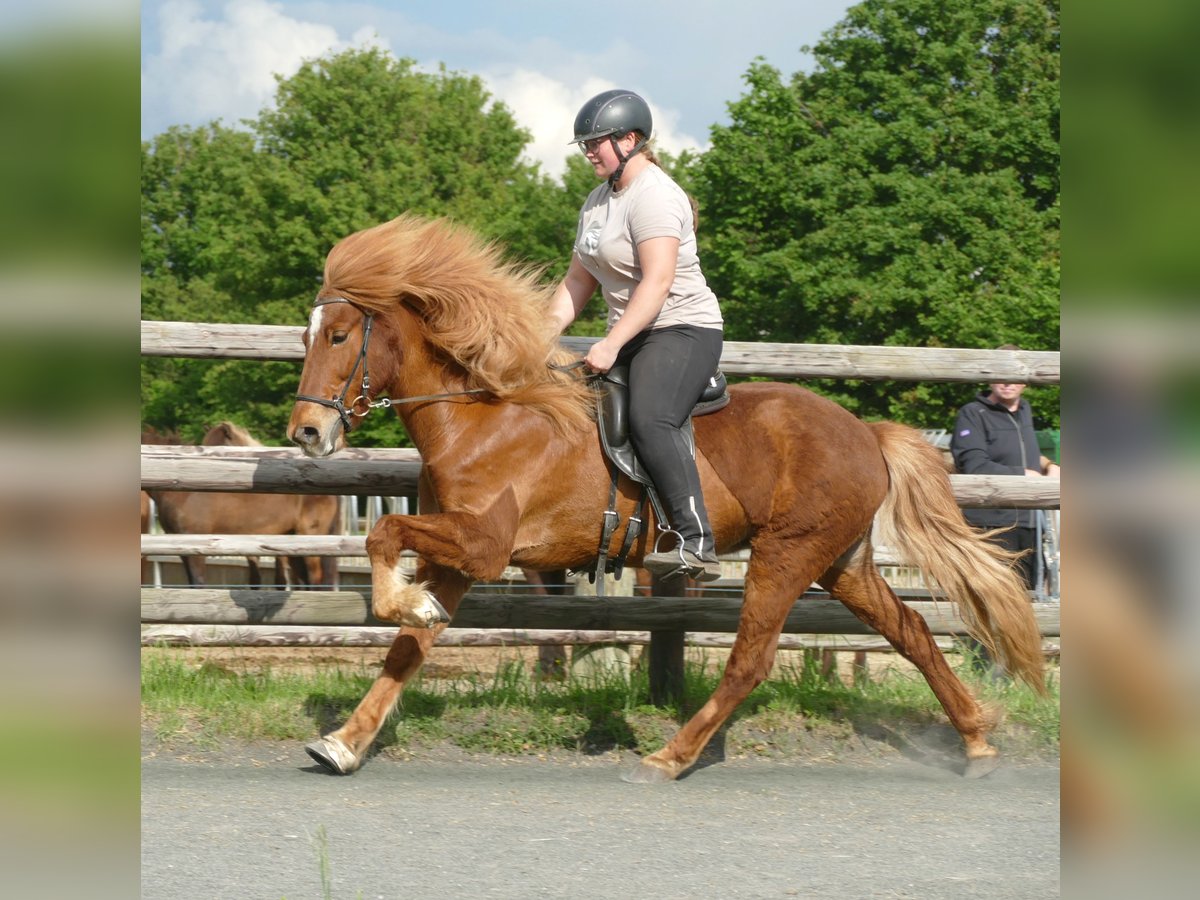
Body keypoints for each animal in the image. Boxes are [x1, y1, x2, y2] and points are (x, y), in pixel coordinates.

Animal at [144, 424, 345, 592]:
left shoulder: (195, 546)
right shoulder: (181, 549)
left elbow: (198, 584)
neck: (182, 490)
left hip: (310, 538)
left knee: (315, 581)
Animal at [285, 214, 1046, 787]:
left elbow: (384, 539)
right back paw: (977, 742)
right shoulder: (461, 556)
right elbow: (408, 648)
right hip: (843, 562)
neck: (485, 414)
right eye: (307, 335)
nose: (307, 432)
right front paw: (345, 740)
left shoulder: (484, 543)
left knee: (750, 662)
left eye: (340, 335)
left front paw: (402, 601)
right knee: (912, 632)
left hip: (786, 555)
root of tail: (866, 431)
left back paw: (669, 757)